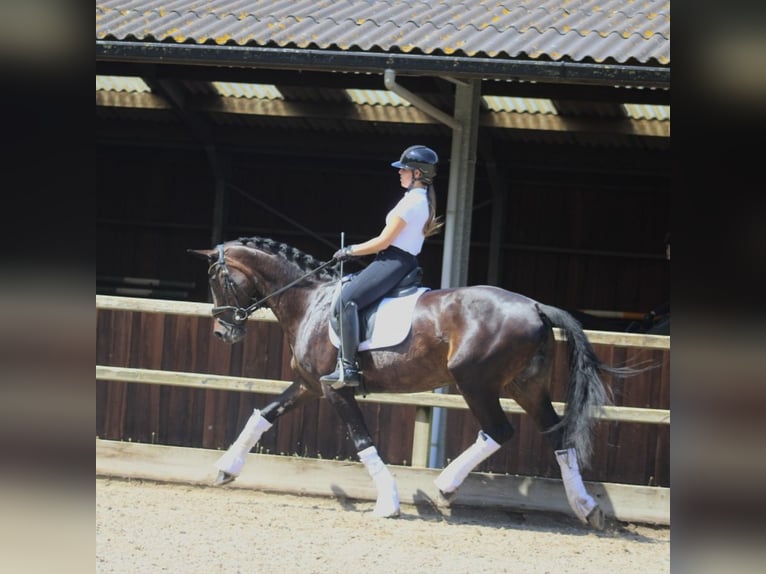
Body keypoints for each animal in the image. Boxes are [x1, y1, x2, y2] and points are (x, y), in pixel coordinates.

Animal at [190, 237, 640, 532]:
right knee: (557, 436)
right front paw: (225, 469)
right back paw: (586, 508)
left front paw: (388, 502)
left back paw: (443, 487)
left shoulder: (335, 389)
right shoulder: (308, 384)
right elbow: (262, 416)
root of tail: (534, 305)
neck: (310, 303)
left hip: (476, 381)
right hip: (525, 386)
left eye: (215, 279)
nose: (222, 333)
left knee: (498, 430)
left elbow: (363, 440)